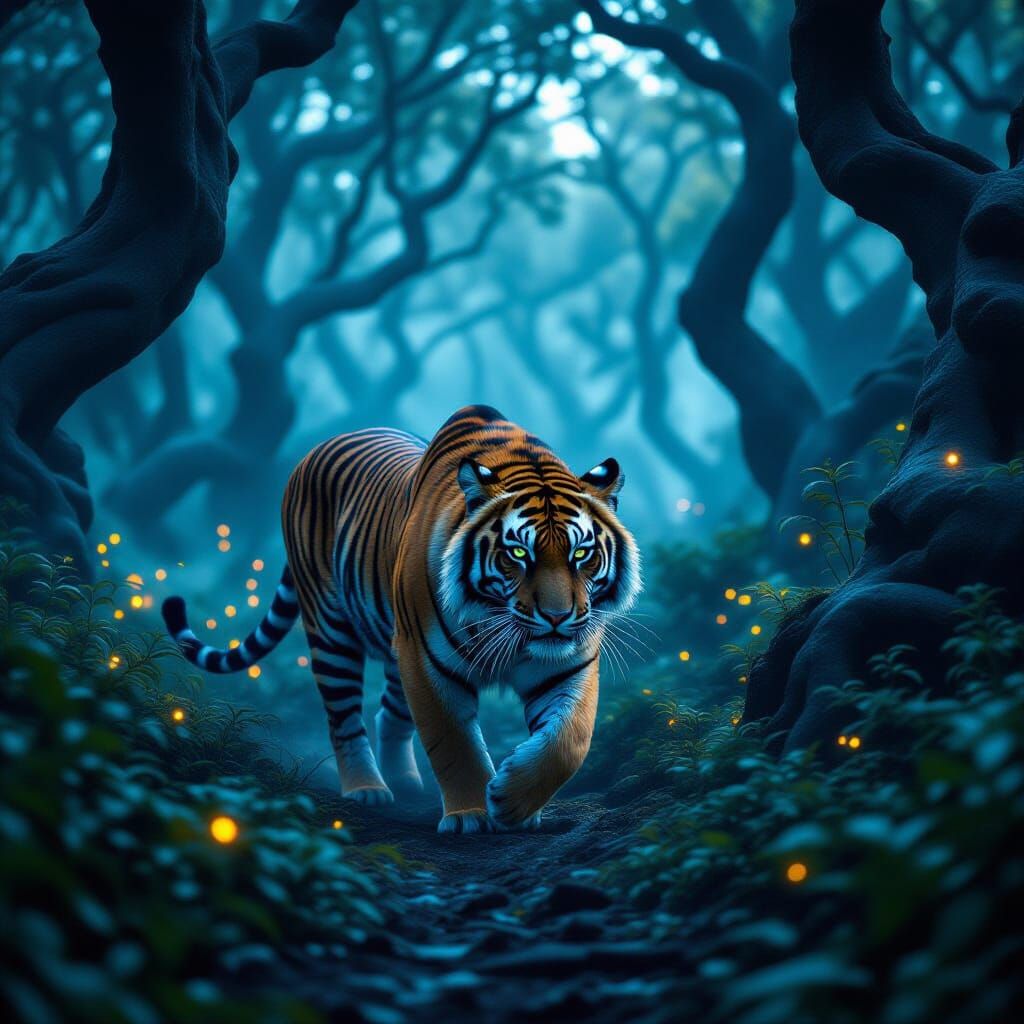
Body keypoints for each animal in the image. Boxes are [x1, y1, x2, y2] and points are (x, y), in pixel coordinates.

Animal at [163, 405, 641, 834]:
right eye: (519, 553)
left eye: (582, 553)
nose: (557, 617)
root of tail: (320, 446)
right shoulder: (428, 663)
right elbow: (454, 743)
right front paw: (473, 814)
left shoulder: (568, 665)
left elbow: (569, 741)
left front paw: (512, 801)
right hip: (334, 631)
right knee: (344, 719)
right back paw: (366, 789)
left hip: (397, 649)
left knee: (389, 714)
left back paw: (408, 786)